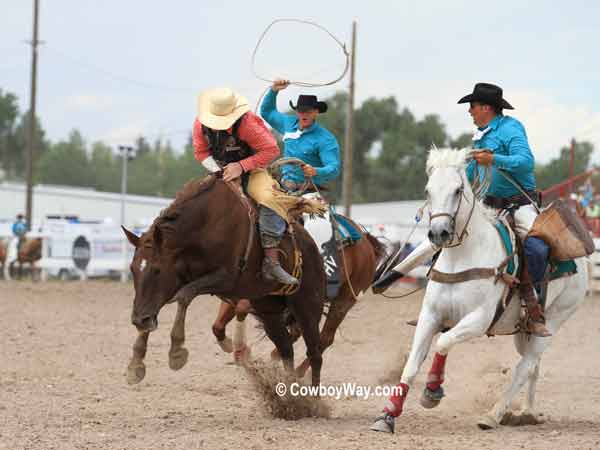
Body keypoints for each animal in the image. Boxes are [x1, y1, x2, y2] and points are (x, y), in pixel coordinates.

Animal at [122, 174, 328, 384]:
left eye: (157, 270)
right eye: (132, 269)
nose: (138, 321)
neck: (203, 225)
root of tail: (314, 248)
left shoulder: (227, 278)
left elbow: (184, 296)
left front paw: (176, 352)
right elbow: (153, 306)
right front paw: (136, 364)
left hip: (308, 307)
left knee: (315, 354)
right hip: (269, 311)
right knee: (286, 348)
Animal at [213, 216, 386, 374]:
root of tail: (366, 241)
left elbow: (241, 309)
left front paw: (241, 351)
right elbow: (218, 325)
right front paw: (230, 346)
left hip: (344, 300)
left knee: (324, 338)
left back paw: (299, 373)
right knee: (300, 332)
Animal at [372, 148, 588, 432]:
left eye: (457, 190)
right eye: (428, 191)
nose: (438, 233)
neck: (461, 257)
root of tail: (583, 261)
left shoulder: (479, 319)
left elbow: (443, 342)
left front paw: (432, 391)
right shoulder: (430, 316)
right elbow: (411, 364)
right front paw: (388, 415)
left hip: (555, 318)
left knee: (524, 367)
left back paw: (493, 415)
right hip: (525, 332)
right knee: (532, 365)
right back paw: (526, 412)